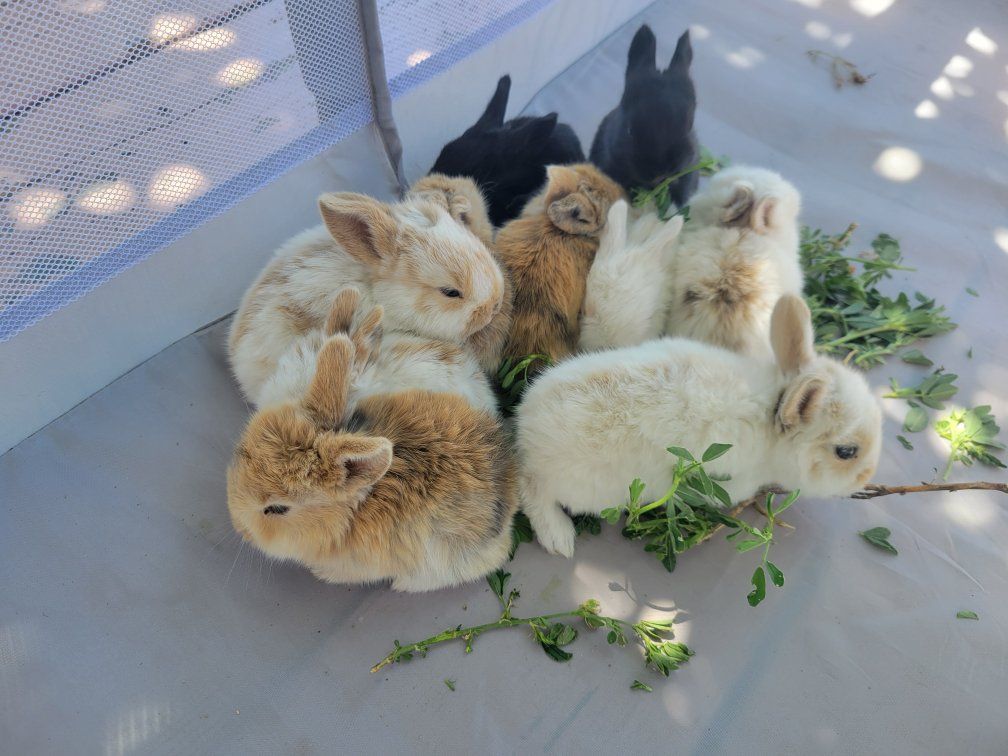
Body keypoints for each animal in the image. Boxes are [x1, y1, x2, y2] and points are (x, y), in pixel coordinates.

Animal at [515, 294, 881, 557]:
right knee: (533, 492)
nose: (867, 477)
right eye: (846, 452)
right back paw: (559, 538)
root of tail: (526, 435)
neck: (769, 417)